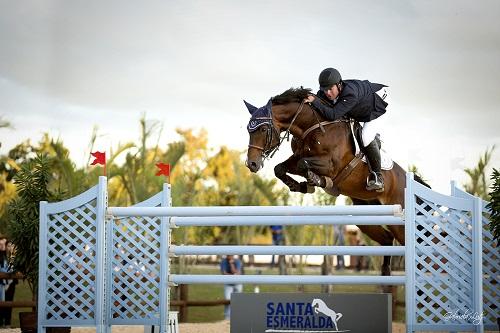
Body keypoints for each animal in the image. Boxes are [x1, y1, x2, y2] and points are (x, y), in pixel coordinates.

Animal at [244, 87, 428, 284]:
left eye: (263, 129)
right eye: (249, 130)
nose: (252, 164)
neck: (313, 126)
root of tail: (407, 179)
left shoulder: (331, 165)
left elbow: (303, 164)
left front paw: (319, 181)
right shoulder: (297, 157)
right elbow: (280, 168)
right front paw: (301, 186)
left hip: (399, 219)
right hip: (366, 215)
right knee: (387, 239)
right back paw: (385, 275)